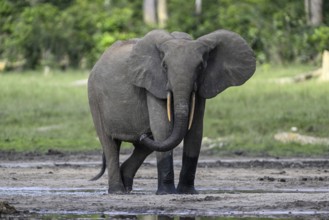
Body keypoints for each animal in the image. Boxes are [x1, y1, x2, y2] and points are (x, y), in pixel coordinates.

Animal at [88, 28, 256, 194]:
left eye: (200, 67)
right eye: (165, 67)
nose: (142, 135)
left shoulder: (202, 86)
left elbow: (195, 131)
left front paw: (187, 192)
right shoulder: (154, 83)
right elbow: (163, 128)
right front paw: (167, 193)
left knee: (144, 146)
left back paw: (127, 184)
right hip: (94, 98)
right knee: (110, 144)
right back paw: (118, 191)